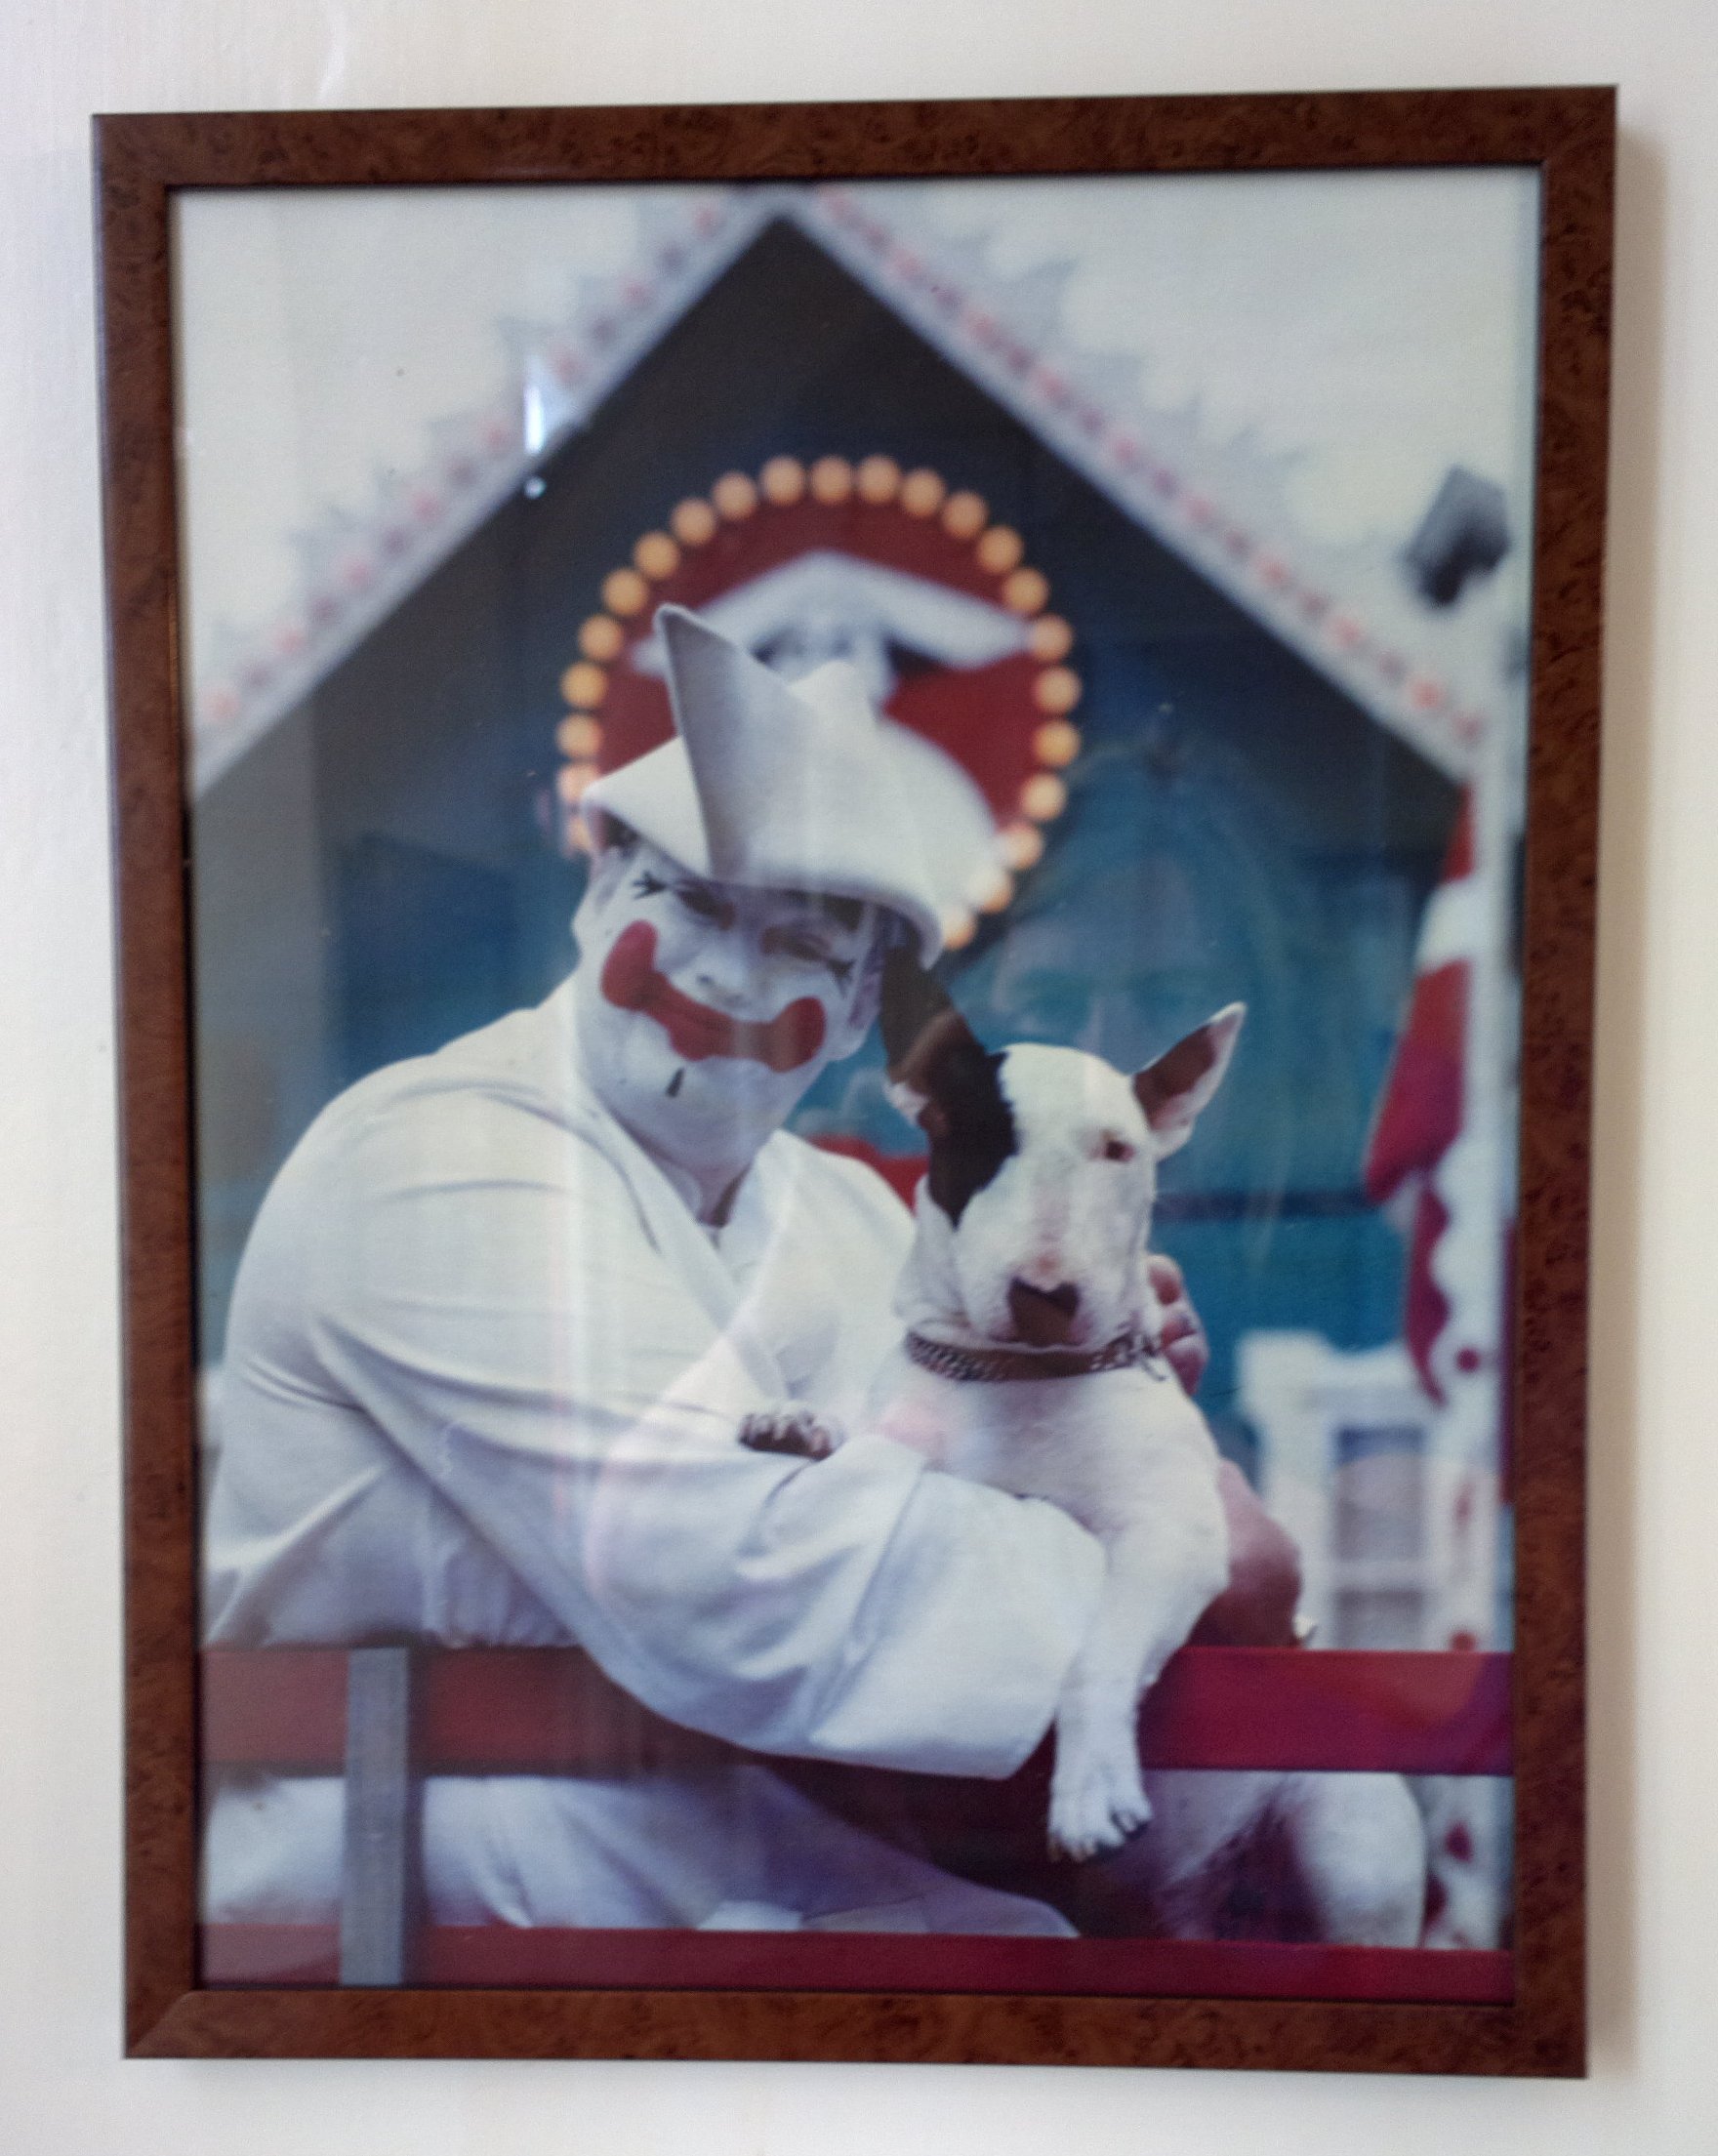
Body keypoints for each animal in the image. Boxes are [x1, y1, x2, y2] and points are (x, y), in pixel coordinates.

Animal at [744, 953, 1427, 1938]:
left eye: (1117, 1151)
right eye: (976, 1136)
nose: (1044, 1295)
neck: (1009, 1379)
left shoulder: (1173, 1536)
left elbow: (1099, 1652)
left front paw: (1087, 1792)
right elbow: (868, 1430)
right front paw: (800, 1421)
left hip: (1349, 1843)